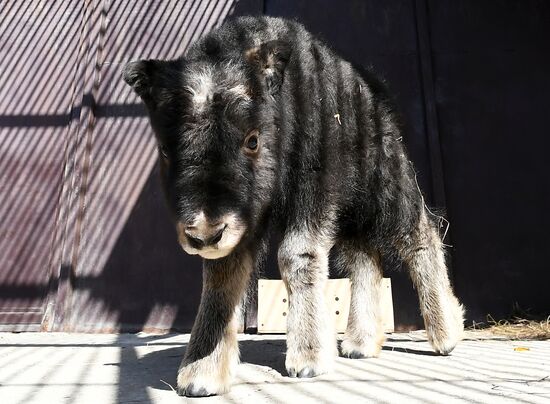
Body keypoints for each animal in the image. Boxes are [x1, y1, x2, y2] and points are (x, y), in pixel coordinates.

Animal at [125, 16, 466, 398]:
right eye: (165, 151)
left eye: (252, 140)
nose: (204, 233)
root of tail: (375, 90)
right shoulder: (243, 226)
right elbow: (221, 276)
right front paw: (202, 373)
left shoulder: (313, 192)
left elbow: (296, 255)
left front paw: (309, 358)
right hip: (350, 213)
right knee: (365, 258)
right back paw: (361, 343)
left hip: (388, 186)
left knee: (419, 234)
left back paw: (446, 333)